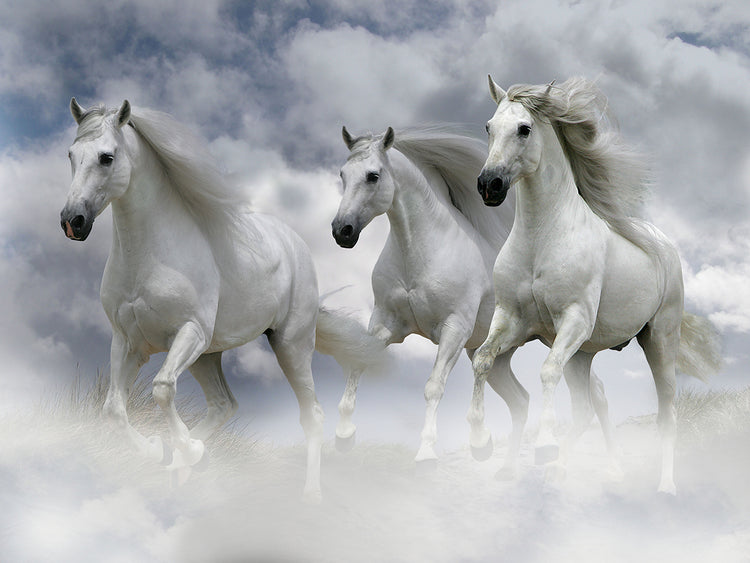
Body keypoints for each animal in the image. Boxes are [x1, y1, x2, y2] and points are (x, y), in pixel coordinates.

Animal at [60, 98, 378, 501]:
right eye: (72, 154)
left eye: (106, 157)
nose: (72, 221)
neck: (149, 256)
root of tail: (296, 246)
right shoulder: (127, 342)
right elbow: (114, 409)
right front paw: (163, 451)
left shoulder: (189, 332)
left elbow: (162, 389)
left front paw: (183, 451)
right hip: (207, 356)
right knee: (224, 405)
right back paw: (187, 463)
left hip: (288, 345)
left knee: (312, 415)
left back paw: (310, 494)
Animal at [331, 125, 619, 474]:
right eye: (343, 174)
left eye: (373, 176)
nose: (342, 231)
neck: (421, 253)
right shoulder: (385, 325)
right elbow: (357, 362)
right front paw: (344, 436)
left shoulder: (454, 330)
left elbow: (433, 386)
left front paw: (428, 453)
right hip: (499, 358)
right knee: (521, 400)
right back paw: (503, 465)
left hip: (558, 340)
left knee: (598, 394)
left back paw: (610, 463)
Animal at [469, 76, 722, 493]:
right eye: (488, 127)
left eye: (524, 129)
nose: (489, 185)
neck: (542, 238)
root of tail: (664, 243)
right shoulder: (512, 320)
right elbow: (483, 360)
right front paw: (481, 442)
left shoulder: (574, 319)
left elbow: (546, 372)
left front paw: (545, 446)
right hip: (582, 355)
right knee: (590, 406)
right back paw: (580, 471)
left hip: (659, 340)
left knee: (665, 411)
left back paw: (665, 486)